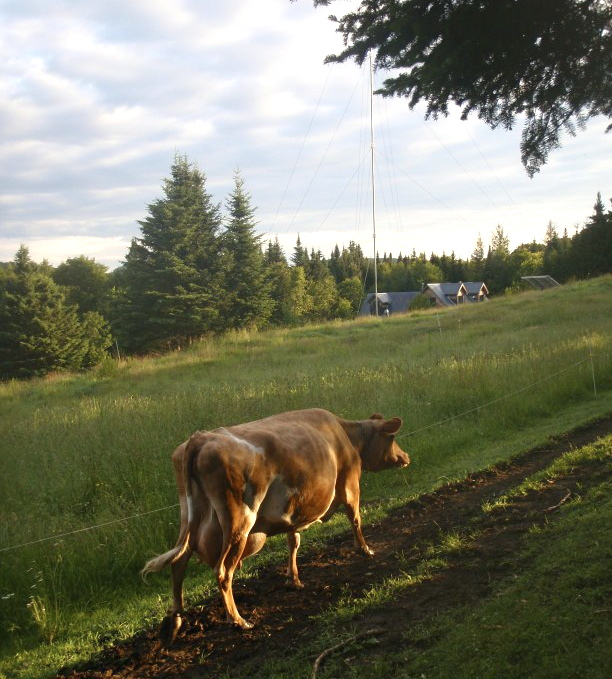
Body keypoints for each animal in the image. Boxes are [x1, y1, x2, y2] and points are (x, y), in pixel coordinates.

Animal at [142, 408, 410, 644]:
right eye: (392, 437)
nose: (406, 457)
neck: (346, 436)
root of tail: (200, 438)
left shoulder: (294, 510)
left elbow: (294, 541)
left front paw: (294, 578)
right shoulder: (350, 483)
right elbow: (355, 519)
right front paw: (365, 549)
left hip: (189, 516)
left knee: (179, 562)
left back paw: (175, 620)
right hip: (239, 521)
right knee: (223, 570)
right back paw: (238, 620)